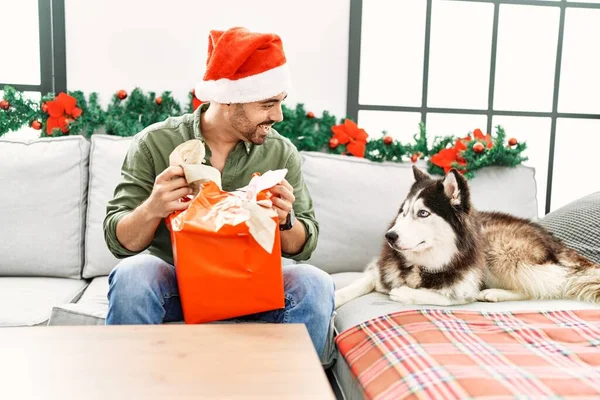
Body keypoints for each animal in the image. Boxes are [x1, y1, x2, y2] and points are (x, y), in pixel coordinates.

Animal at [336, 167, 600, 308]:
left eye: (423, 213)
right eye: (403, 212)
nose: (390, 236)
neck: (423, 263)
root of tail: (555, 242)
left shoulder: (465, 287)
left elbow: (446, 296)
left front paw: (405, 293)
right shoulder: (379, 269)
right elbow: (360, 283)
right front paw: (336, 297)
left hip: (497, 248)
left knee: (542, 286)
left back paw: (494, 293)